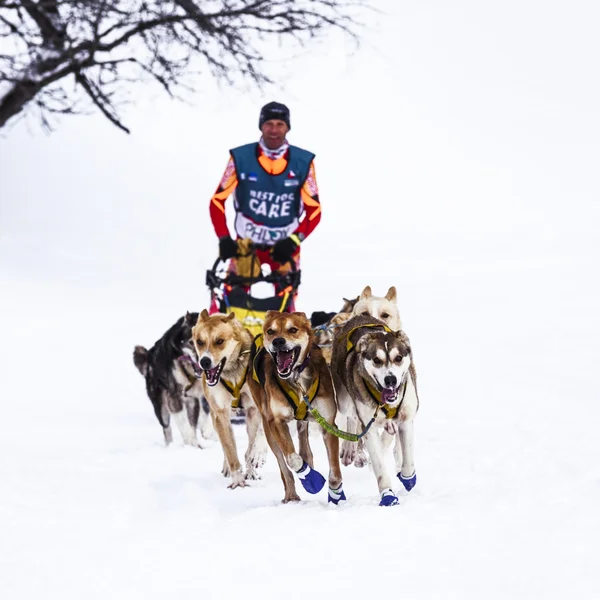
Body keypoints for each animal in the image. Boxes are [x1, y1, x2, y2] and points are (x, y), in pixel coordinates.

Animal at [192, 310, 268, 488]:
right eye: (199, 341)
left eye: (219, 341)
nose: (204, 362)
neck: (232, 372)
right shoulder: (220, 413)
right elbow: (230, 449)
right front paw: (238, 481)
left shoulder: (259, 406)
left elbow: (260, 434)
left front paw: (258, 454)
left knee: (250, 444)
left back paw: (252, 468)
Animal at [246, 312, 344, 504]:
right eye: (271, 331)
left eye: (293, 329)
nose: (278, 341)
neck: (296, 377)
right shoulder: (277, 422)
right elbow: (292, 459)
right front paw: (311, 480)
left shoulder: (328, 424)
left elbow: (335, 473)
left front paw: (336, 496)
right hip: (269, 428)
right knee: (284, 466)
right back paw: (292, 495)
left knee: (303, 439)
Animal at [328, 314, 418, 506]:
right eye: (376, 360)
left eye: (398, 358)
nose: (390, 380)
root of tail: (359, 316)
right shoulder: (369, 428)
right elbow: (379, 466)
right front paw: (388, 495)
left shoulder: (406, 420)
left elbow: (407, 462)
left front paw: (408, 479)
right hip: (344, 401)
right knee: (352, 418)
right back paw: (349, 449)